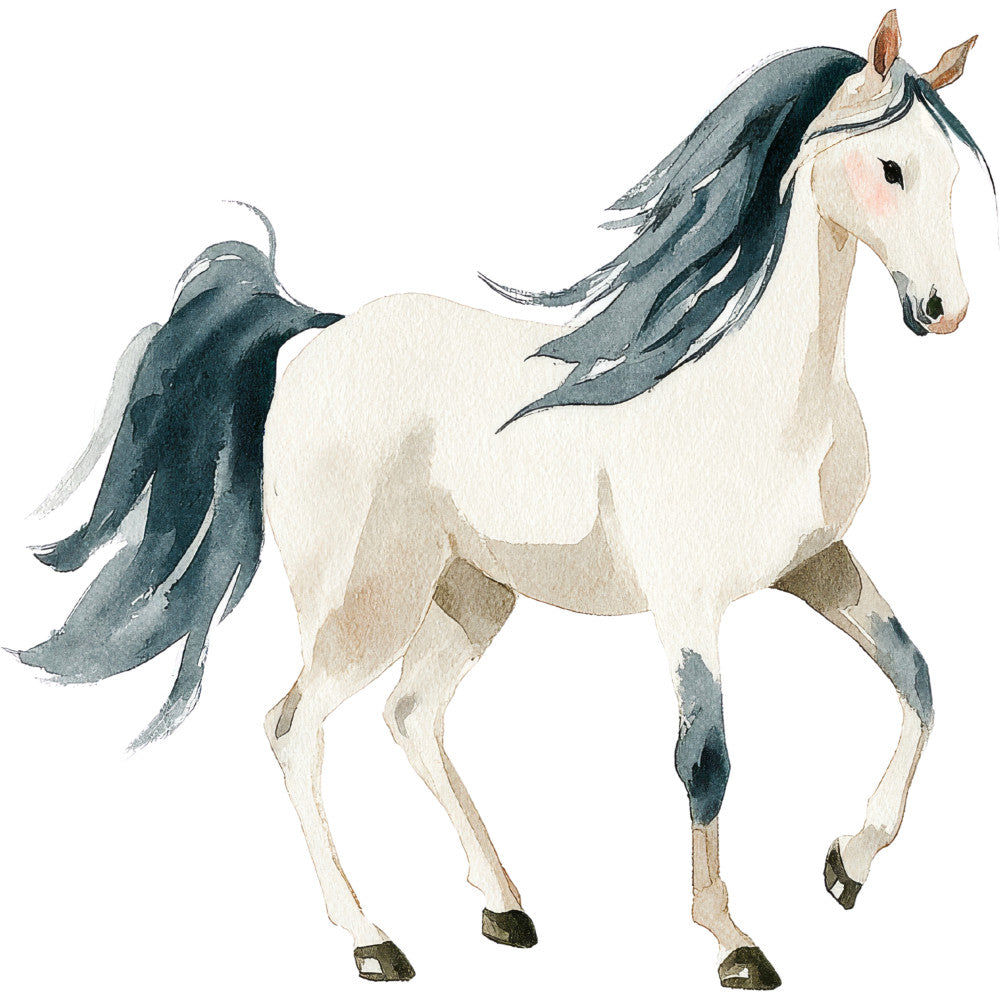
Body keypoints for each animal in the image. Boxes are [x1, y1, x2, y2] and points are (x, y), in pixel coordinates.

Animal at [13, 11, 989, 991]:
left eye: (950, 170)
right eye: (890, 167)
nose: (943, 310)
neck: (761, 397)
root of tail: (318, 335)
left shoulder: (817, 565)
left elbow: (917, 679)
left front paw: (847, 865)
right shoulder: (686, 606)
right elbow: (704, 757)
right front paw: (734, 942)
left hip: (472, 595)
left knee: (409, 717)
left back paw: (505, 907)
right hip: (366, 601)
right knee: (293, 728)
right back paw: (371, 939)